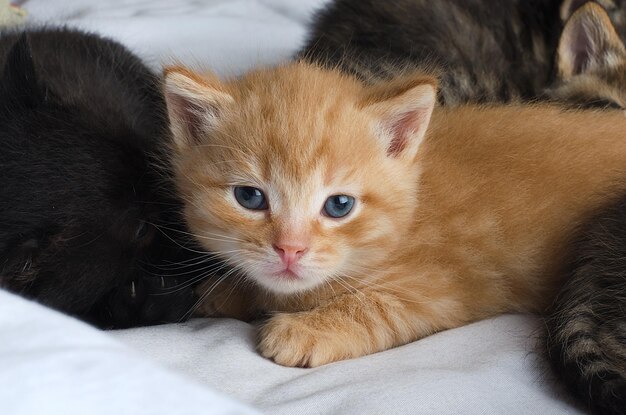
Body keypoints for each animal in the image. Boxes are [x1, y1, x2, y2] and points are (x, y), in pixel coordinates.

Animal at [162, 61, 626, 374]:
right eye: (249, 197)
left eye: (339, 206)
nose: (290, 249)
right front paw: (229, 291)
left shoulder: (436, 290)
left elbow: (378, 307)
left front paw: (305, 329)